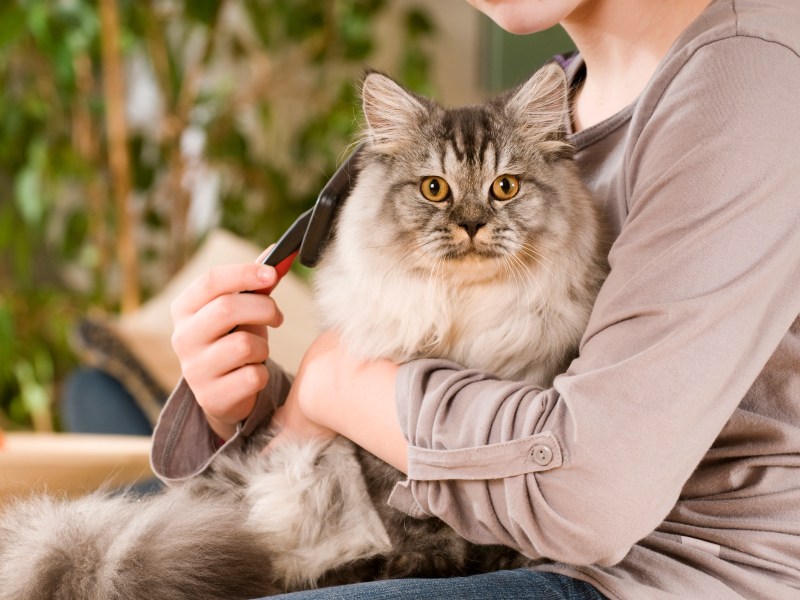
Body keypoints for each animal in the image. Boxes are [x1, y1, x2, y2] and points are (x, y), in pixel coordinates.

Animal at [0, 62, 608, 600]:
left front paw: (501, 557)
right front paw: (432, 561)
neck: (466, 311)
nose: (473, 224)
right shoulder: (377, 443)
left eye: (504, 187)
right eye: (435, 189)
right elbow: (414, 515)